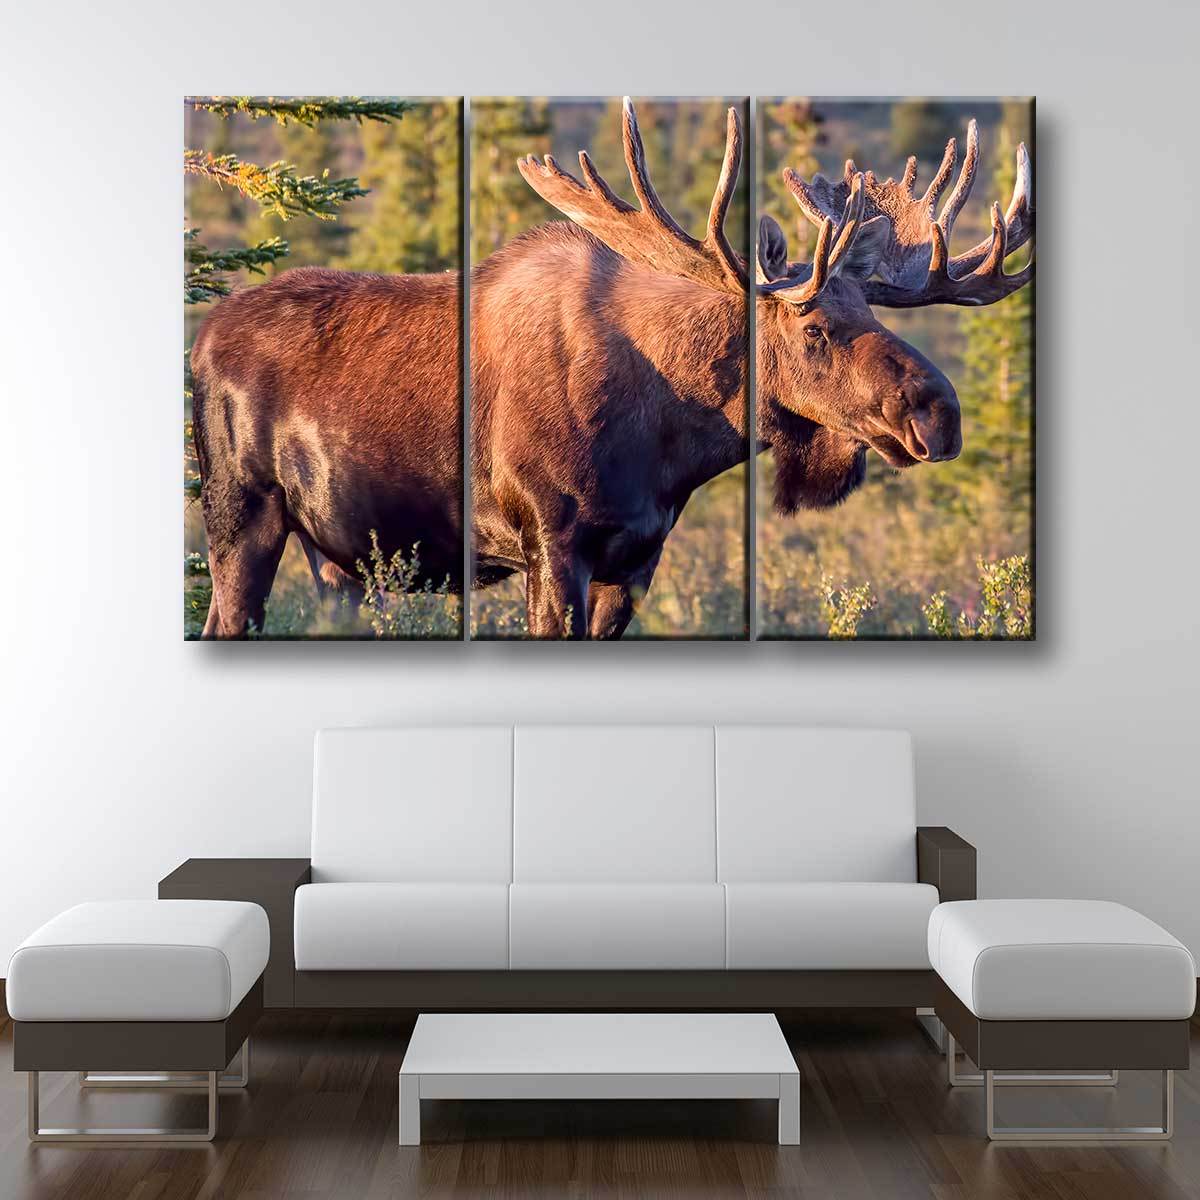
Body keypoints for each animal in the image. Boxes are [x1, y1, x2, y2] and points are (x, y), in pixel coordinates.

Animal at [191, 99, 1033, 639]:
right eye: (818, 328)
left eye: (878, 315)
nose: (939, 413)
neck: (669, 440)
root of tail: (201, 338)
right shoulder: (548, 542)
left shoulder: (636, 560)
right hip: (240, 514)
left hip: (339, 556)